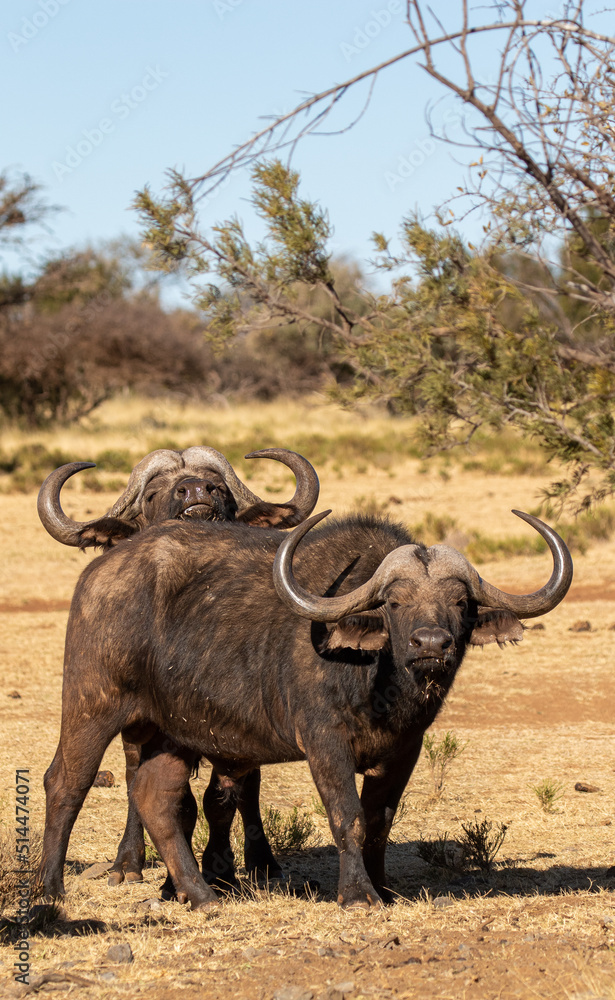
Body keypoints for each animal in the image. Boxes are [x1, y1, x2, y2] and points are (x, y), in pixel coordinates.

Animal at [36, 446, 320, 892]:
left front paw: (221, 867)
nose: (197, 491)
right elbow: (169, 797)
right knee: (106, 779)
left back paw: (261, 863)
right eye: (153, 494)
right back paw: (120, 864)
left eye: (220, 487)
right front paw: (166, 875)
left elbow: (222, 797)